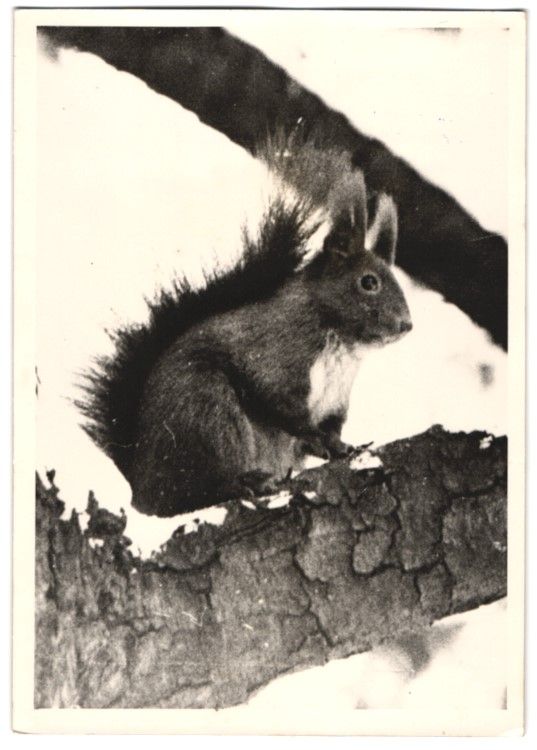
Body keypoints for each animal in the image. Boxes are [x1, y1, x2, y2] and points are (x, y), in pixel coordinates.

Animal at [78, 135, 412, 517]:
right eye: (368, 282)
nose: (406, 325)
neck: (342, 344)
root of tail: (142, 486)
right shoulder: (277, 355)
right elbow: (279, 402)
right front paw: (315, 438)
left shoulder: (335, 400)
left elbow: (330, 430)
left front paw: (342, 447)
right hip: (207, 414)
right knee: (191, 492)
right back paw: (245, 483)